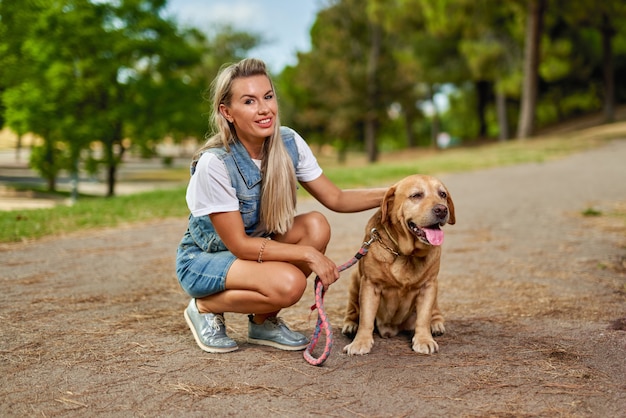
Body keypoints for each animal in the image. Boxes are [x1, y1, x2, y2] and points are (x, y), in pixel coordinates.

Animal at [342, 175, 454, 354]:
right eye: (416, 195)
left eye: (442, 194)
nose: (442, 209)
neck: (406, 254)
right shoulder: (370, 285)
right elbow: (366, 318)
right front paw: (360, 342)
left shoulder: (429, 286)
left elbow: (423, 317)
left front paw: (424, 339)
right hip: (354, 280)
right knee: (353, 309)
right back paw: (350, 325)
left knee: (434, 310)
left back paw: (436, 323)